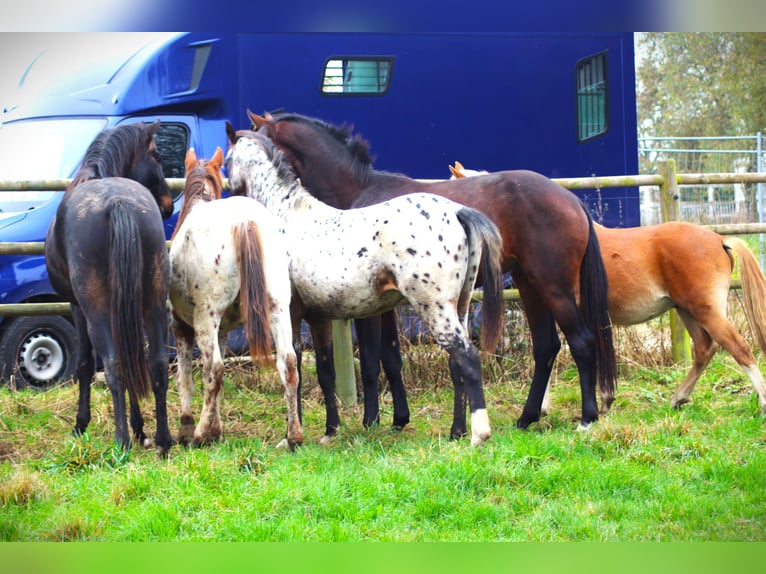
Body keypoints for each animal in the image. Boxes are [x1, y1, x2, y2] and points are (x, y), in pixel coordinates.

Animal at [45, 124, 176, 456]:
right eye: (158, 156)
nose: (168, 205)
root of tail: (118, 202)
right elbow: (136, 363)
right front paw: (140, 427)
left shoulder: (76, 307)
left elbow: (84, 364)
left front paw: (81, 424)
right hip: (153, 302)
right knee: (156, 363)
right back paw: (163, 441)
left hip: (97, 311)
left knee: (114, 364)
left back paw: (121, 442)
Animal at [170, 148, 302, 450]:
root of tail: (244, 220)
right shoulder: (224, 330)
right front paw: (217, 429)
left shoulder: (181, 326)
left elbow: (186, 378)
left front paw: (189, 429)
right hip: (278, 310)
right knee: (288, 363)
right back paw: (293, 436)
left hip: (205, 319)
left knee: (214, 369)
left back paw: (199, 433)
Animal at [225, 128, 508, 448]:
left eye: (227, 159)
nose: (229, 194)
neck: (286, 217)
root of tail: (458, 212)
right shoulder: (318, 318)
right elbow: (325, 372)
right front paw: (330, 430)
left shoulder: (290, 314)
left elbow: (292, 365)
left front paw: (291, 437)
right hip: (458, 307)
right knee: (456, 364)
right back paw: (456, 431)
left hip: (435, 309)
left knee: (468, 358)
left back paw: (478, 434)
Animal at [249, 110, 620, 432]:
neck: (357, 192)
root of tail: (572, 201)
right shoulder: (386, 305)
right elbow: (391, 358)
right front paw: (399, 419)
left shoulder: (367, 309)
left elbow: (369, 362)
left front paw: (371, 421)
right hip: (529, 286)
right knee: (546, 347)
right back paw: (526, 418)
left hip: (552, 287)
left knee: (581, 343)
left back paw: (586, 418)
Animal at [452, 161, 766, 414]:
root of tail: (719, 239)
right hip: (687, 310)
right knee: (704, 349)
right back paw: (679, 397)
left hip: (705, 309)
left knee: (739, 347)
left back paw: (761, 402)